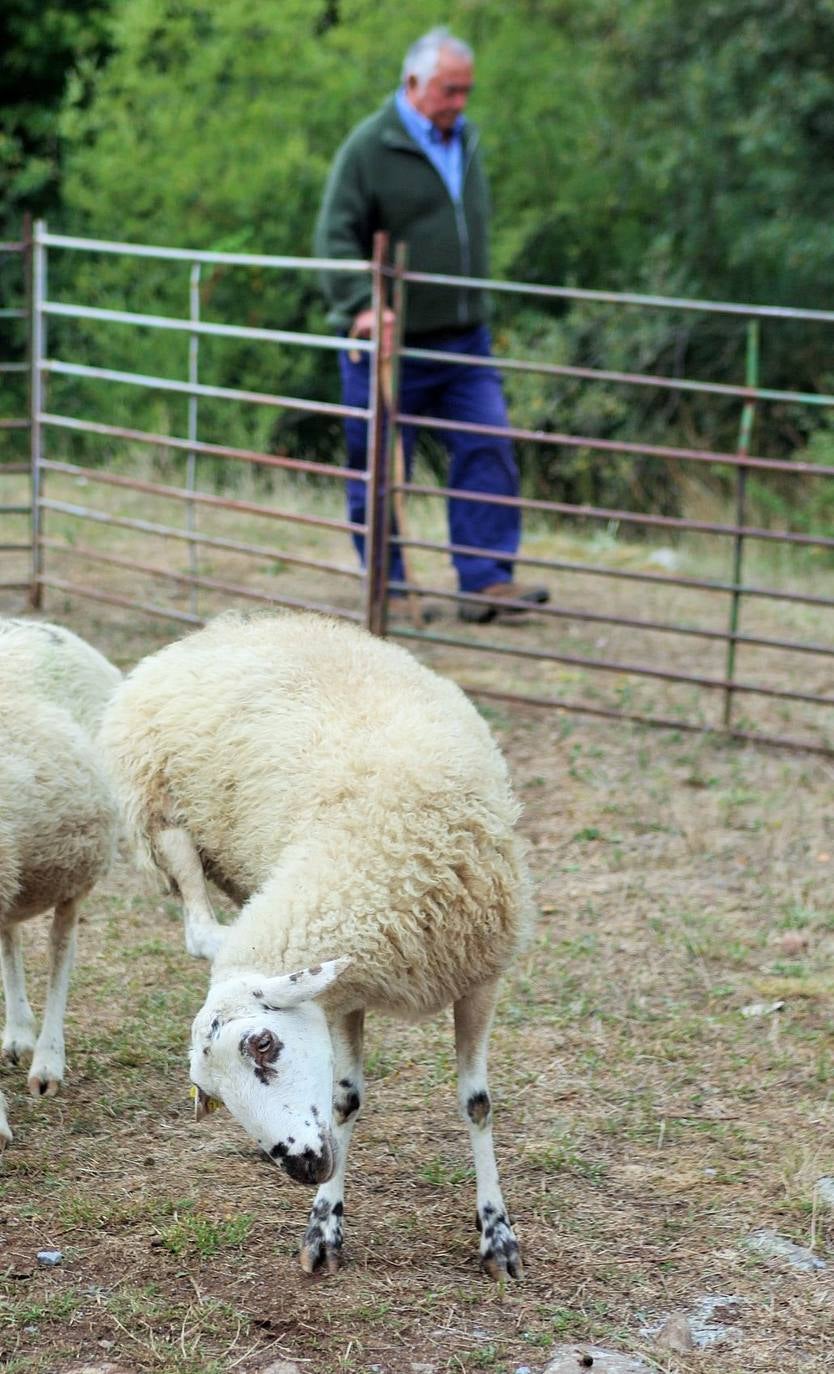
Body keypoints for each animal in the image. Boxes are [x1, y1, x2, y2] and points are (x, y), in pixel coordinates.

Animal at [99, 612, 535, 1275]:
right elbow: (344, 1102)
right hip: (163, 821)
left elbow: (476, 1104)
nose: (300, 1167)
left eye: (263, 1044)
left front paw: (497, 1234)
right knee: (198, 919)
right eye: (211, 1091)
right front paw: (325, 1223)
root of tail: (222, 628)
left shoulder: (477, 980)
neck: (366, 858)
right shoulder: (341, 997)